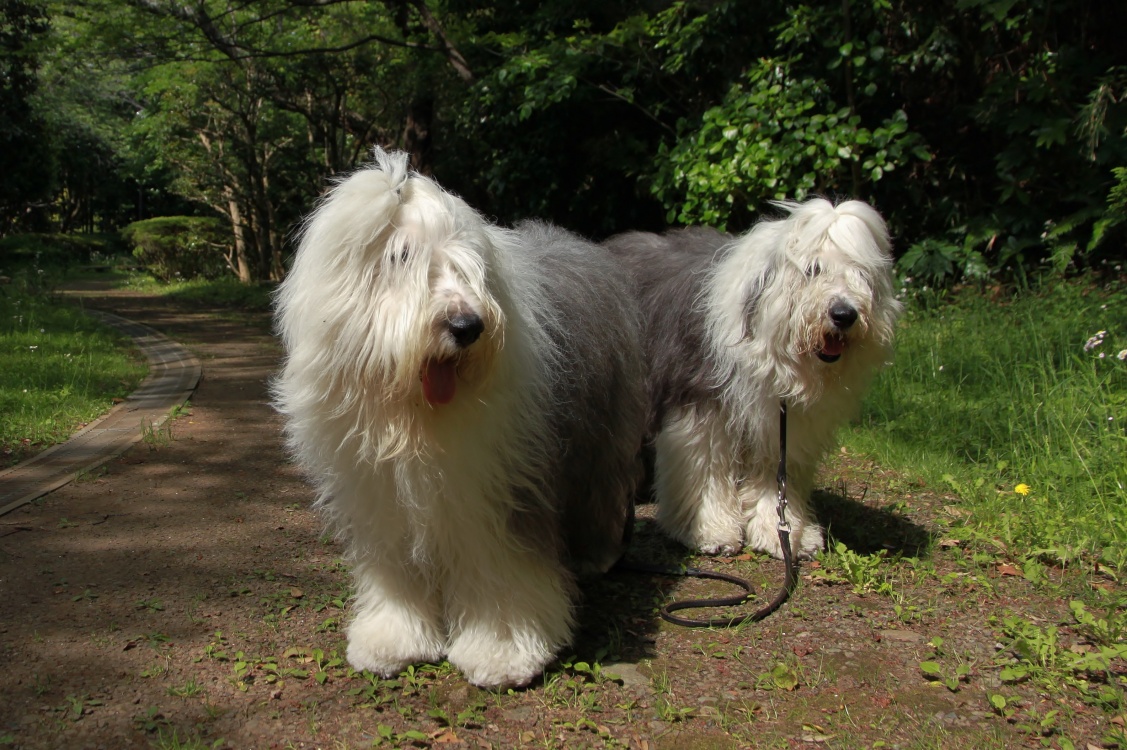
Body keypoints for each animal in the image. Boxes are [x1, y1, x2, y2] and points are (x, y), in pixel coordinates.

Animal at [273, 148, 646, 688]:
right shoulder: (382, 500)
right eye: (401, 258)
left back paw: (596, 555)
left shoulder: (499, 491)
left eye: (468, 269)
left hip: (603, 428)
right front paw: (393, 640)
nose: (468, 325)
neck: (414, 418)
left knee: (604, 487)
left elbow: (499, 571)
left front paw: (502, 651)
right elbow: (396, 573)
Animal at [604, 199, 900, 561]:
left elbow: (777, 478)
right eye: (813, 270)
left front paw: (784, 533)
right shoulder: (702, 406)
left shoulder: (783, 425)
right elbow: (705, 470)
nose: (844, 315)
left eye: (861, 274)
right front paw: (710, 531)